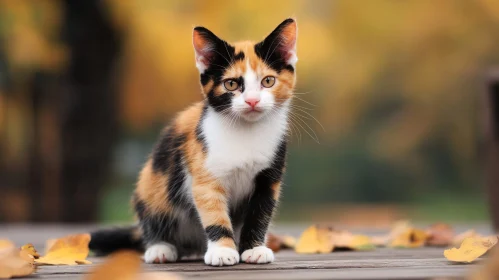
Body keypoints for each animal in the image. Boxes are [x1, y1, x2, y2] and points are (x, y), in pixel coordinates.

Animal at [89, 18, 296, 266]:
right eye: (231, 85)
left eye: (268, 81)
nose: (252, 101)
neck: (246, 131)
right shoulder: (203, 173)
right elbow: (214, 212)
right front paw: (222, 250)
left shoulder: (269, 178)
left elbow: (260, 214)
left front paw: (254, 248)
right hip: (152, 184)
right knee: (152, 216)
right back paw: (160, 248)